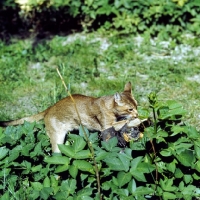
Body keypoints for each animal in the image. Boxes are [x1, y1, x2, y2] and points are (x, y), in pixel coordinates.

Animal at [0, 82, 138, 152]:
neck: (109, 106)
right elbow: (122, 122)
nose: (137, 113)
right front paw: (133, 120)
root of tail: (50, 108)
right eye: (130, 109)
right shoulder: (105, 126)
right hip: (57, 140)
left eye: (137, 105)